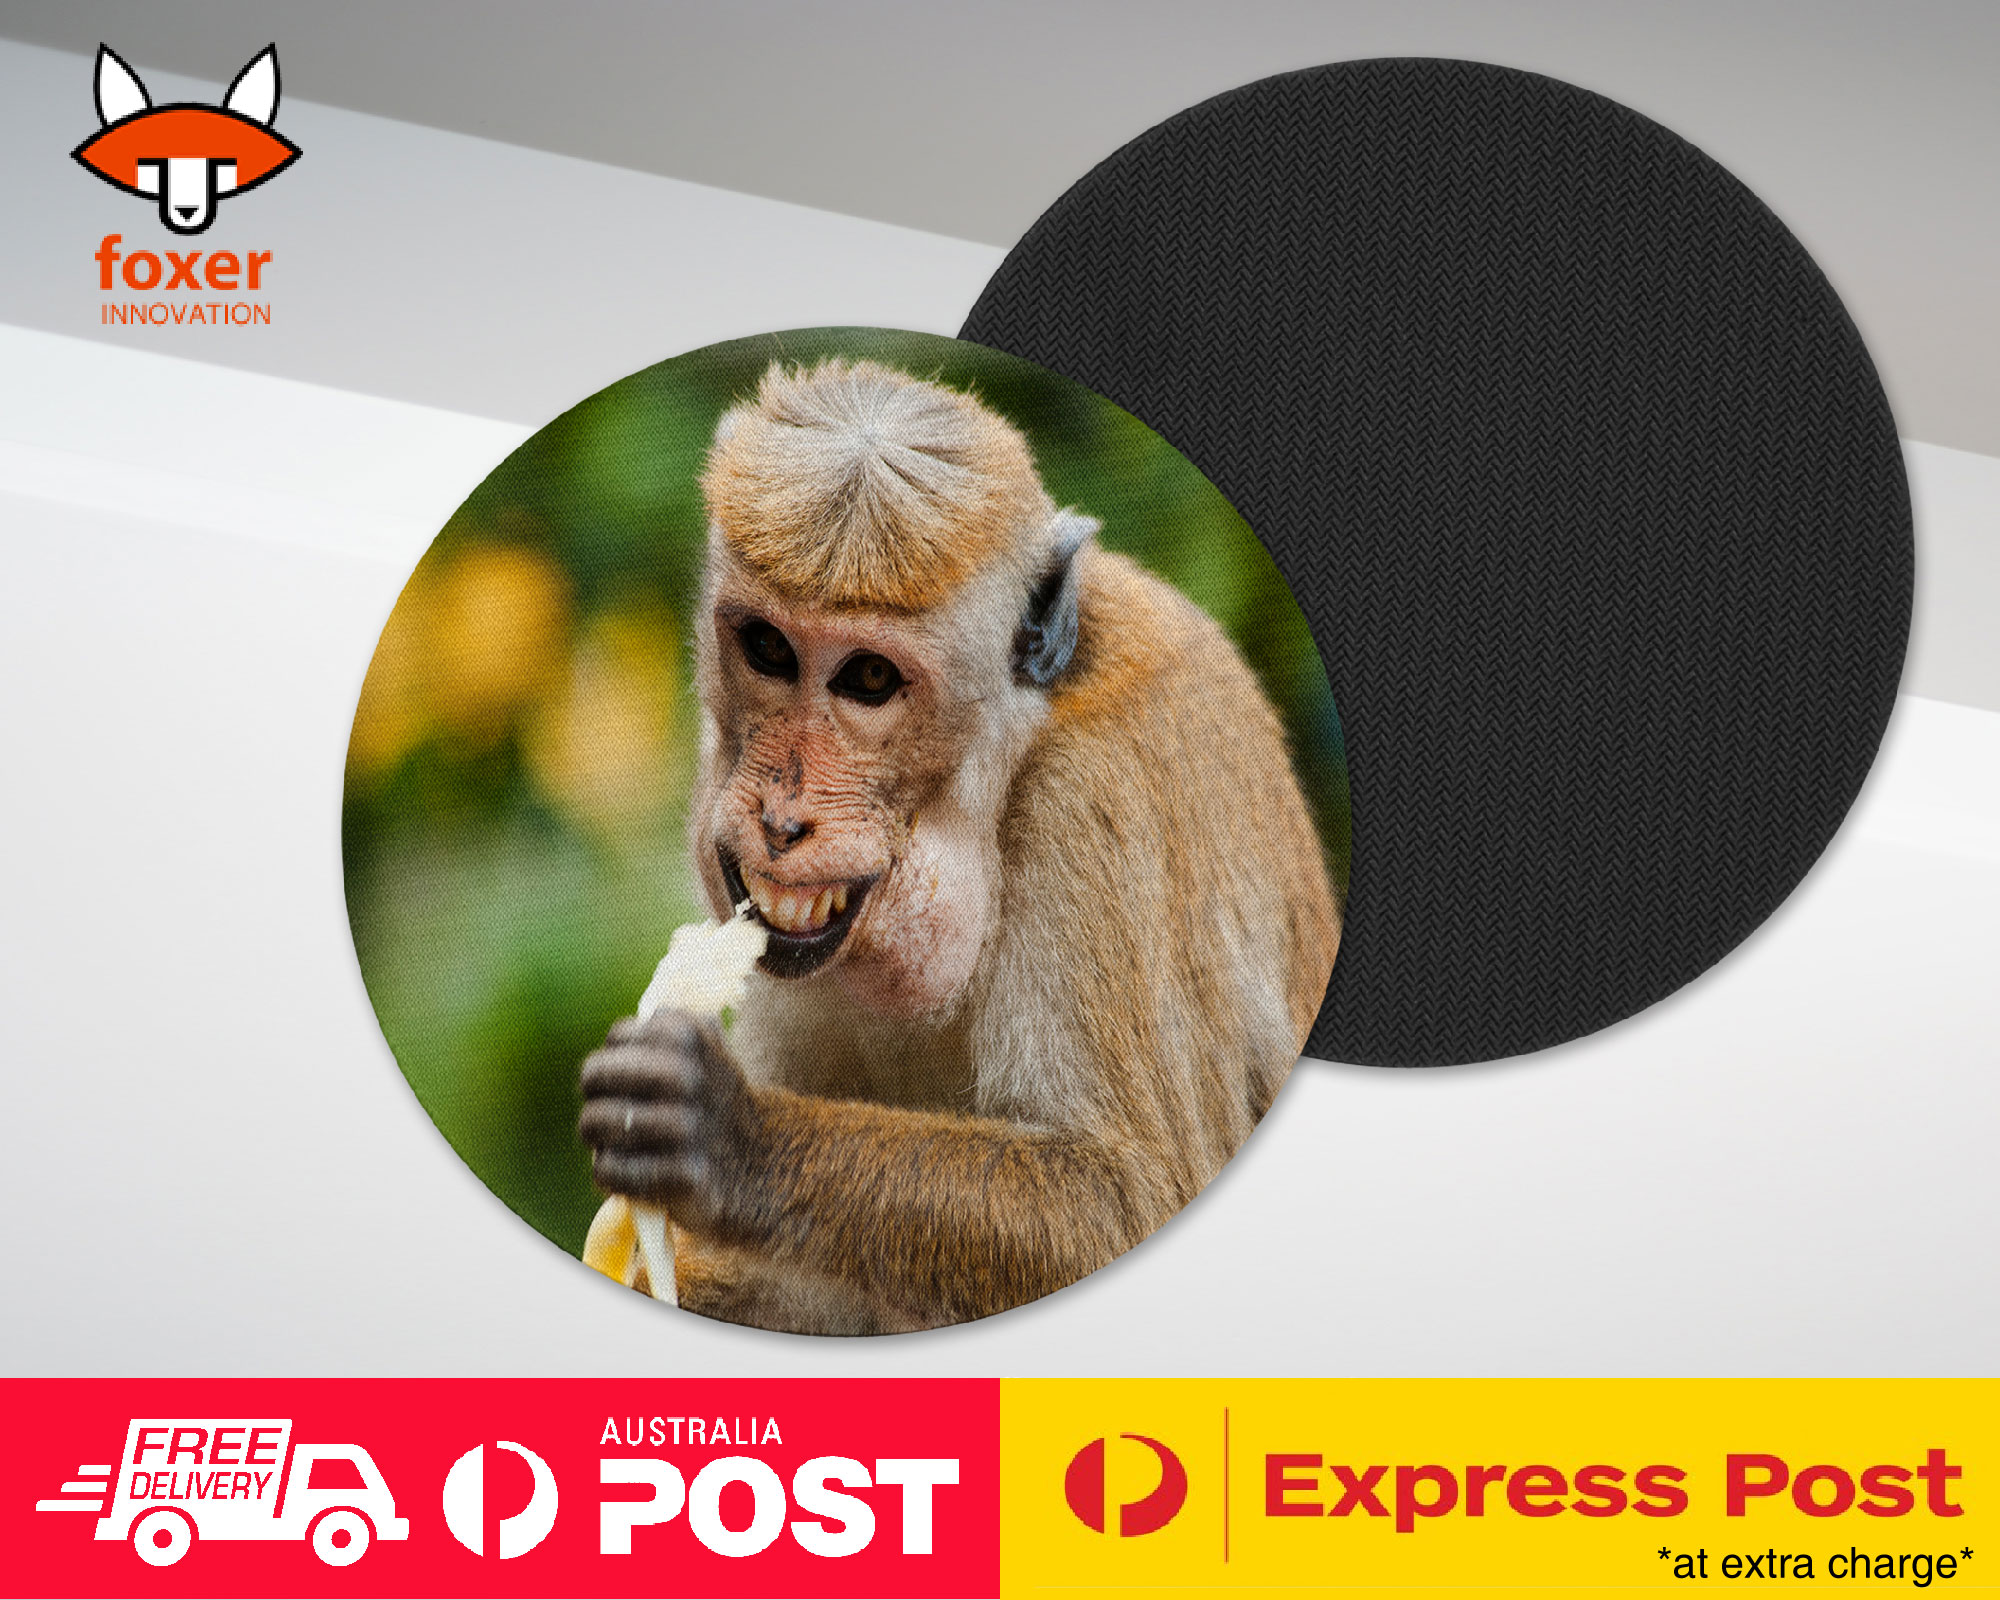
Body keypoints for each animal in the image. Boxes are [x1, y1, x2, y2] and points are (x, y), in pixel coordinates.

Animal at [578, 358, 1340, 1334]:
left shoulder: (1090, 810)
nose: (782, 821)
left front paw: (730, 1140)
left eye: (869, 678)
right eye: (768, 649)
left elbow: (1126, 1203)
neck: (1009, 755)